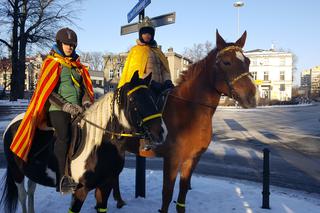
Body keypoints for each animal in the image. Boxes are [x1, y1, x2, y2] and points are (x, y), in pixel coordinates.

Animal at [0, 72, 165, 213]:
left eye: (152, 97)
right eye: (133, 99)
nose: (161, 132)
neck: (99, 145)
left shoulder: (105, 185)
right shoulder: (80, 189)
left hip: (32, 171)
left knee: (31, 191)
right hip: (16, 171)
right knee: (22, 195)